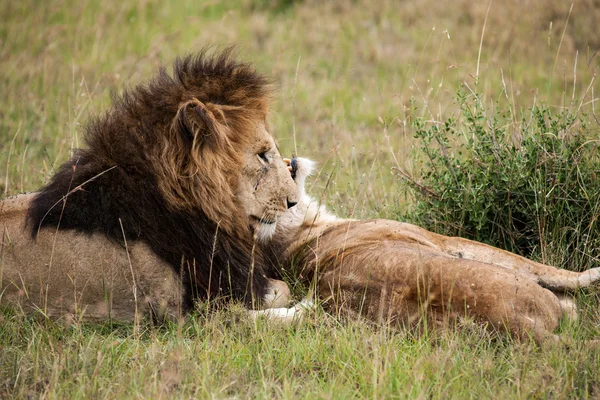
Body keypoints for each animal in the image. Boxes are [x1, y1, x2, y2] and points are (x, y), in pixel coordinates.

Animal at [264, 158, 600, 342]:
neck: (302, 232)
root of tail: (514, 328)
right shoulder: (446, 241)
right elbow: (538, 266)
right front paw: (593, 274)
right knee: (569, 309)